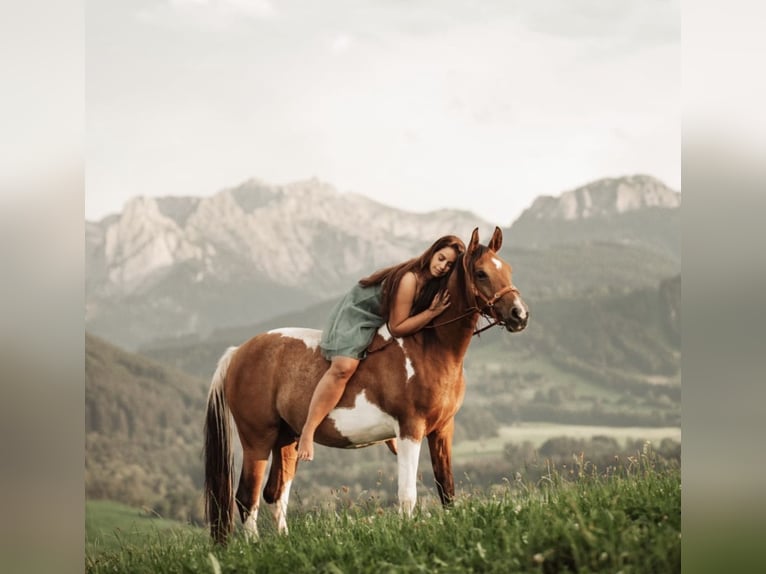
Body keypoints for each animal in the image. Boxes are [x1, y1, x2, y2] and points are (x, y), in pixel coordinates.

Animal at [204, 226, 528, 543]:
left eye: (508, 269)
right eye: (481, 273)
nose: (520, 315)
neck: (428, 349)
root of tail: (238, 352)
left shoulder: (442, 429)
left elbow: (446, 489)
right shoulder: (410, 430)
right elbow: (407, 496)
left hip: (286, 438)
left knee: (276, 493)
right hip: (257, 439)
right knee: (247, 497)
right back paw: (254, 546)